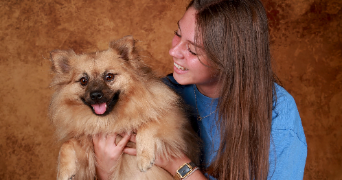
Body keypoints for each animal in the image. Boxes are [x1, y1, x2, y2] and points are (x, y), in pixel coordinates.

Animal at [48, 35, 198, 180]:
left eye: (109, 77)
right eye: (83, 81)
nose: (95, 95)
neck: (109, 120)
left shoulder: (174, 121)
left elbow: (147, 125)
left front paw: (144, 157)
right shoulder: (87, 144)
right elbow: (67, 143)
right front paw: (64, 171)